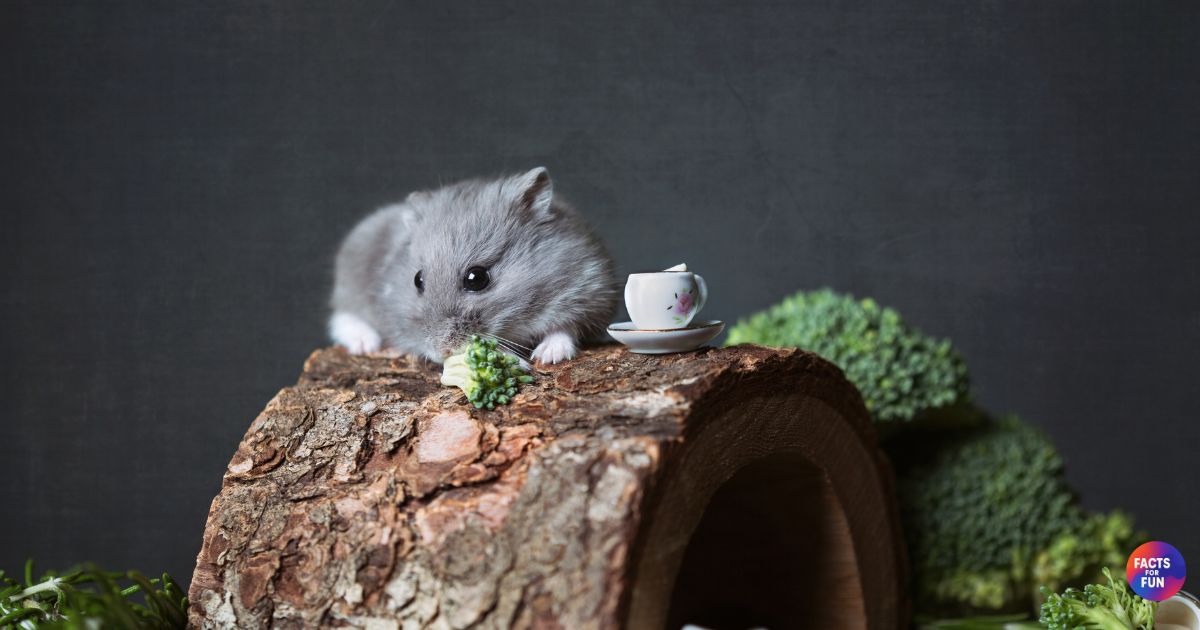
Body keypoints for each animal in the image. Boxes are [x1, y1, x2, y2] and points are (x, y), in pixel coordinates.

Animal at [329, 167, 619, 365]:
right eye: (417, 280)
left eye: (476, 278)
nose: (441, 352)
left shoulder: (590, 290)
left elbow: (565, 328)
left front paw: (546, 357)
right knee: (343, 316)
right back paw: (365, 344)